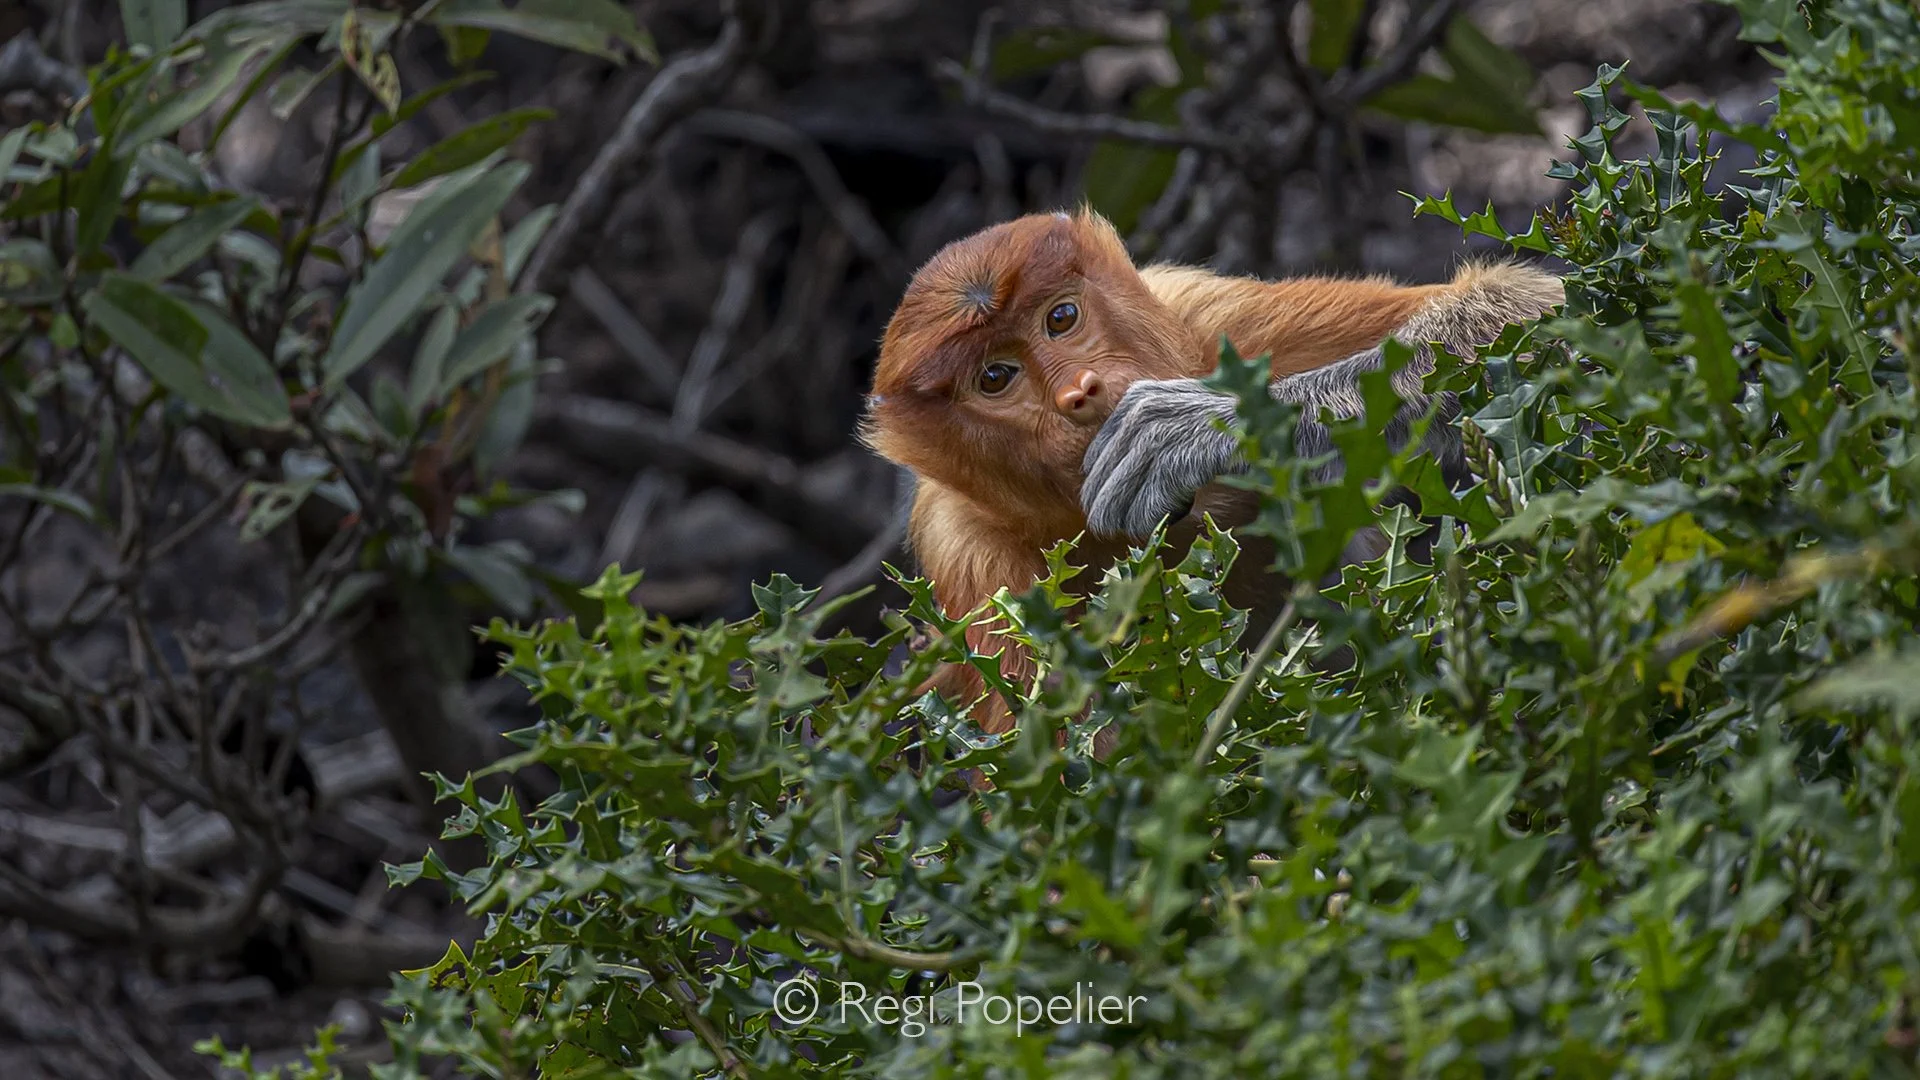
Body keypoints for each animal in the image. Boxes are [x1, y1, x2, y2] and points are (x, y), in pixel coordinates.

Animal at [860, 208, 1562, 740]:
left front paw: (1193, 429)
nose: (1080, 392)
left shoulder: (1206, 312)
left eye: (1061, 318)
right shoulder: (976, 569)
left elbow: (1522, 306)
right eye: (994, 378)